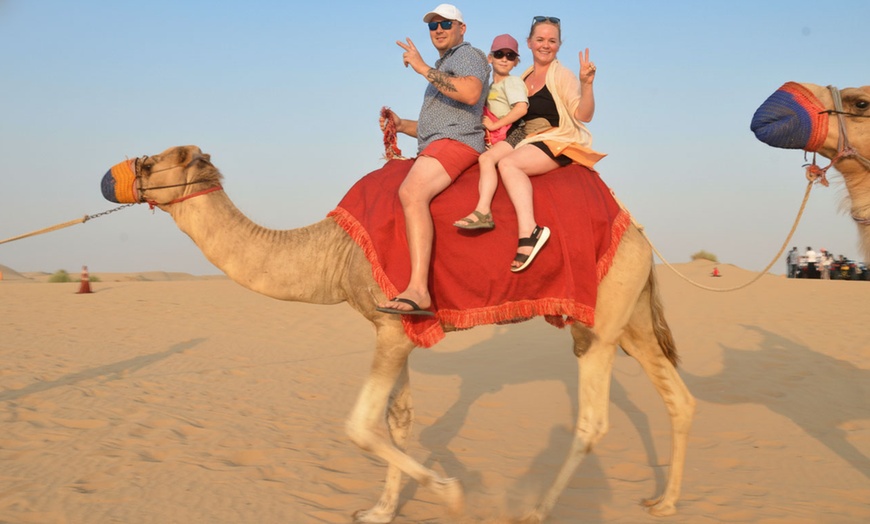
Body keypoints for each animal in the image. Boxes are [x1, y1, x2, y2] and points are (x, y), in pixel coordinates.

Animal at [100, 145, 695, 523]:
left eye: (152, 160)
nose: (107, 178)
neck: (333, 251)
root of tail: (639, 231)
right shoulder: (393, 326)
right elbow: (399, 419)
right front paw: (380, 510)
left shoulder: (395, 324)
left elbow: (361, 425)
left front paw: (450, 494)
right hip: (631, 312)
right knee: (677, 396)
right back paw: (664, 503)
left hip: (601, 315)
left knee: (593, 419)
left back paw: (535, 510)